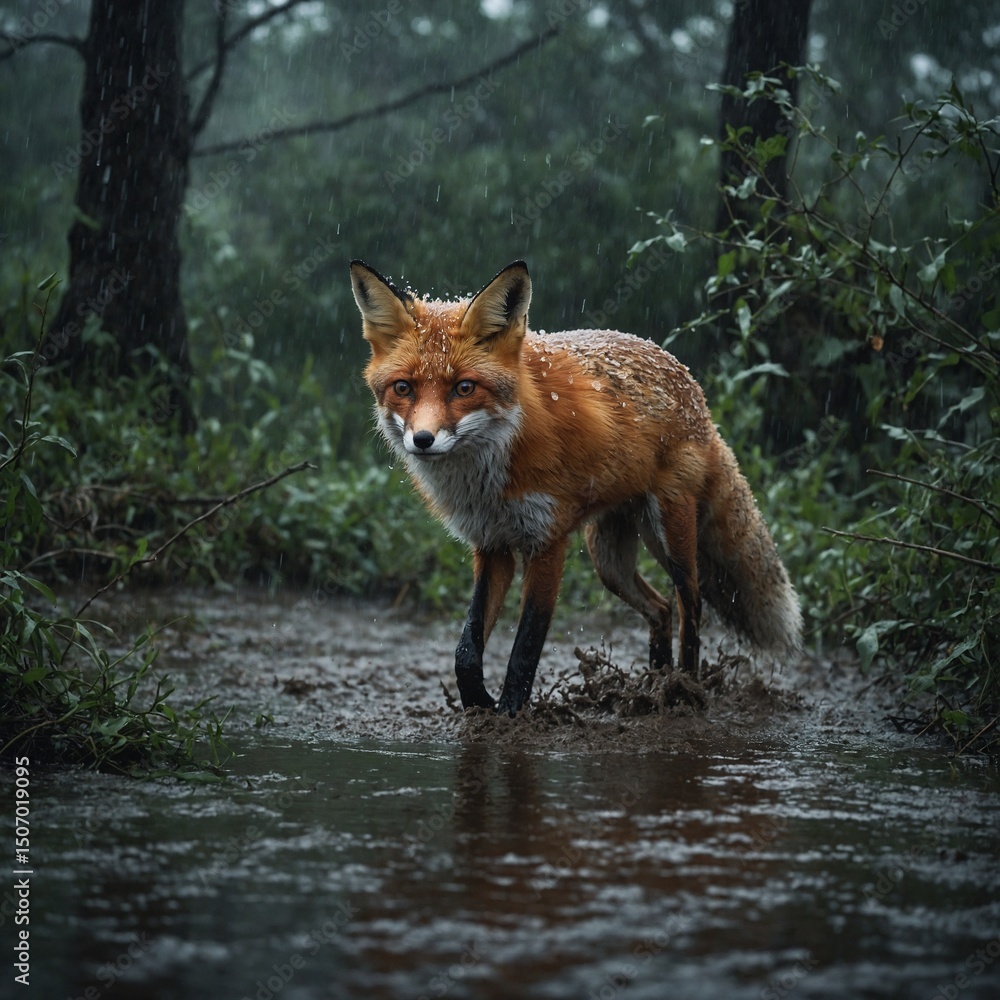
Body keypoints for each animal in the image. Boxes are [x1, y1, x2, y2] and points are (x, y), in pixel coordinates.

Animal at [350, 258, 802, 717]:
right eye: (403, 388)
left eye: (464, 388)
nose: (422, 440)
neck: (490, 475)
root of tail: (694, 391)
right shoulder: (492, 545)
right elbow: (466, 649)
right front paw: (478, 702)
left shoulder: (547, 541)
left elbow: (526, 646)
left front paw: (510, 713)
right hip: (609, 560)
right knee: (660, 609)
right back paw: (654, 683)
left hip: (670, 535)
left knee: (691, 606)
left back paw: (683, 689)